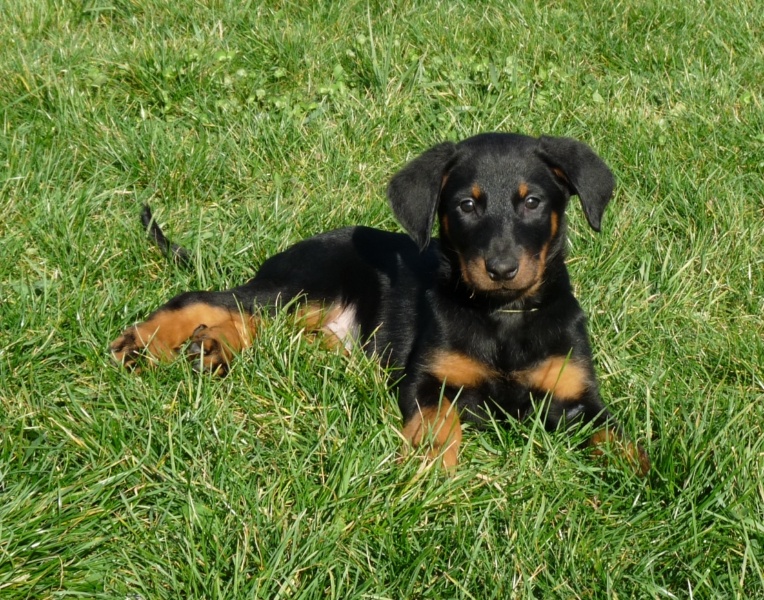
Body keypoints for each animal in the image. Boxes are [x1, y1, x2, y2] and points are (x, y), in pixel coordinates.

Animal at [110, 132, 649, 475]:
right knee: (209, 301)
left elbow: (619, 437)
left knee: (256, 327)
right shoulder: (427, 380)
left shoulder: (578, 397)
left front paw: (651, 482)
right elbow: (440, 424)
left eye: (533, 201)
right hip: (302, 287)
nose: (501, 269)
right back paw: (145, 342)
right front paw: (431, 472)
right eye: (467, 206)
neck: (503, 316)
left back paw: (213, 348)